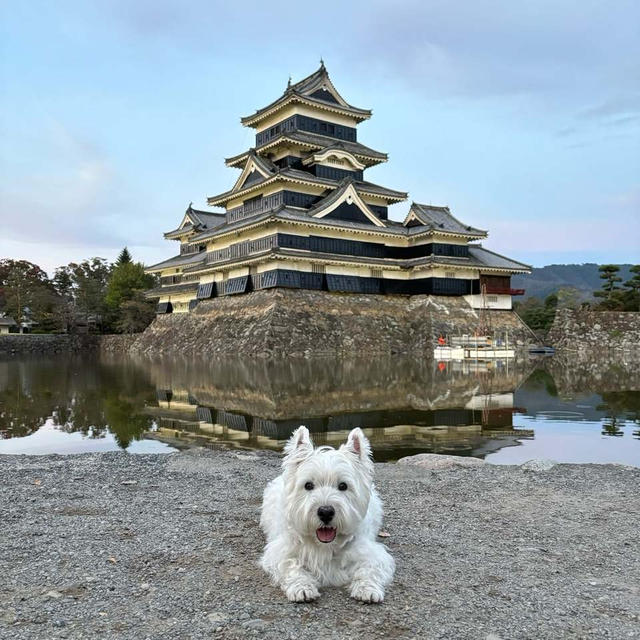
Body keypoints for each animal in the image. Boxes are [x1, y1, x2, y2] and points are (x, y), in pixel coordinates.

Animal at [260, 428, 396, 604]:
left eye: (343, 486)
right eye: (308, 485)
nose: (325, 512)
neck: (325, 546)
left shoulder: (371, 552)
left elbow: (369, 568)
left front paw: (367, 589)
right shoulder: (282, 552)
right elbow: (292, 566)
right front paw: (302, 588)